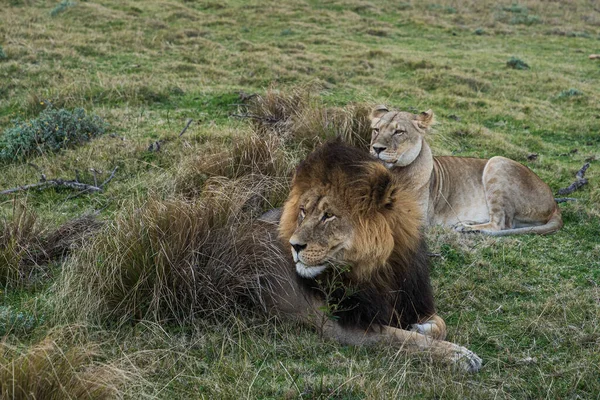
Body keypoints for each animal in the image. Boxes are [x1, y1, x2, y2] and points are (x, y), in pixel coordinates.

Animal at [262, 141, 482, 372]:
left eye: (328, 215)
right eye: (303, 211)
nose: (294, 245)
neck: (380, 273)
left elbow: (440, 324)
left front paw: (421, 328)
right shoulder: (339, 325)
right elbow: (403, 338)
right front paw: (459, 355)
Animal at [370, 106, 564, 238]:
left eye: (399, 131)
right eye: (376, 130)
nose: (377, 148)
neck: (395, 173)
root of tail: (554, 202)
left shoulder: (419, 219)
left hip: (497, 161)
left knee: (501, 224)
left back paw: (466, 229)